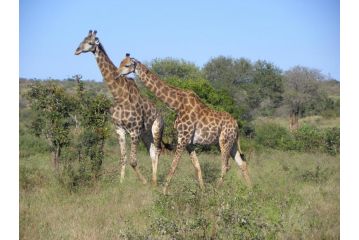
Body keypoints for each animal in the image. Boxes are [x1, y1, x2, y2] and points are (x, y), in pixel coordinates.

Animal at [75, 31, 165, 185]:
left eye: (91, 42)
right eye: (82, 40)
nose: (77, 50)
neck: (120, 97)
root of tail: (161, 114)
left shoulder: (134, 131)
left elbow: (133, 161)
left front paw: (144, 182)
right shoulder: (119, 129)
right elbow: (123, 158)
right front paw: (121, 183)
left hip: (156, 128)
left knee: (158, 151)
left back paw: (153, 182)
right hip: (145, 134)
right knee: (153, 152)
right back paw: (153, 181)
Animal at [119, 54, 252, 193]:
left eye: (127, 65)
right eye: (120, 63)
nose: (118, 74)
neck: (177, 105)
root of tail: (236, 126)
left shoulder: (183, 138)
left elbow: (174, 165)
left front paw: (164, 192)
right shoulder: (189, 142)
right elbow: (197, 167)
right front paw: (202, 191)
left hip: (224, 141)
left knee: (225, 165)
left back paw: (216, 190)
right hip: (232, 143)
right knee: (242, 163)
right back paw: (251, 190)